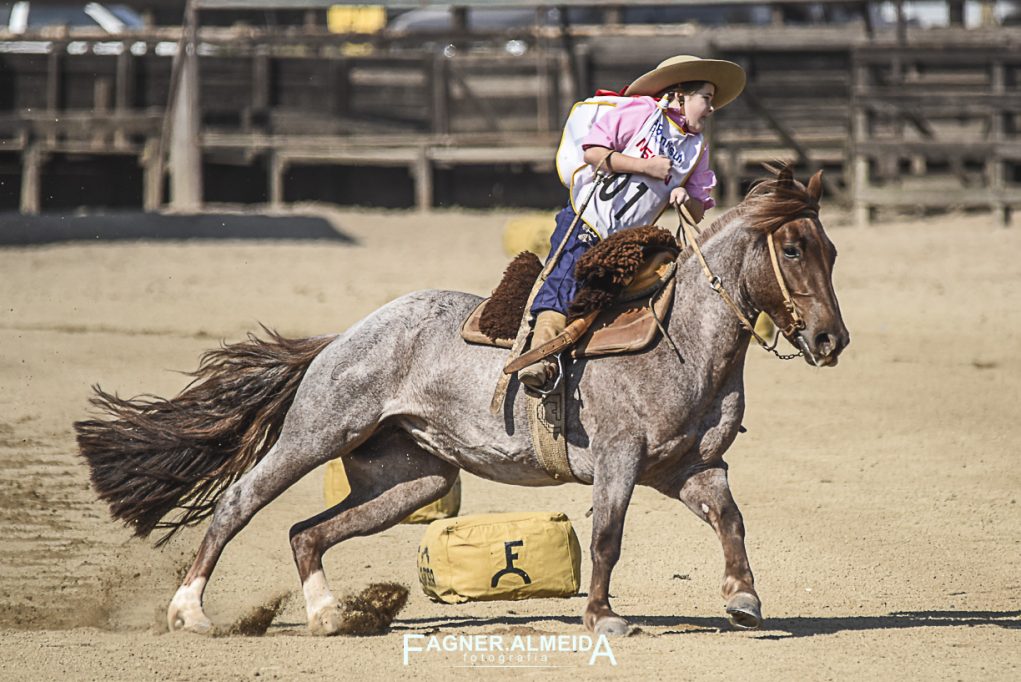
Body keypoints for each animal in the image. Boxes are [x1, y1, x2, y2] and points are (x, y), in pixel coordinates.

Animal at [75, 166, 849, 641]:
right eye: (791, 246)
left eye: (831, 250)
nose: (829, 338)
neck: (680, 339)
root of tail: (343, 337)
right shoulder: (619, 461)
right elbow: (607, 536)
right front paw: (603, 617)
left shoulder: (690, 466)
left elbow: (730, 519)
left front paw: (742, 599)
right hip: (316, 435)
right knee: (241, 503)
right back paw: (189, 612)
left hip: (411, 477)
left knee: (307, 532)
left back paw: (331, 614)